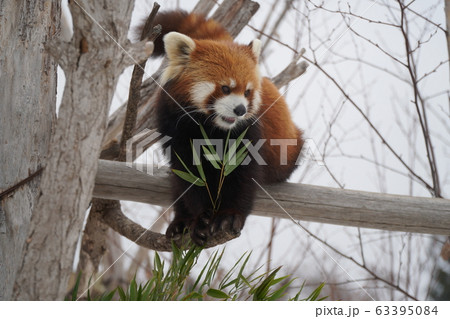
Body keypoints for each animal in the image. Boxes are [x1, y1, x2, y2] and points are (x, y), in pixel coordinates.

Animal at [149, 10, 304, 245]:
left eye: (247, 92)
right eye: (225, 88)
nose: (240, 109)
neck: (210, 127)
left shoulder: (248, 134)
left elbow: (242, 179)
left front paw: (228, 216)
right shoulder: (175, 129)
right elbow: (189, 176)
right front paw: (198, 219)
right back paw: (181, 221)